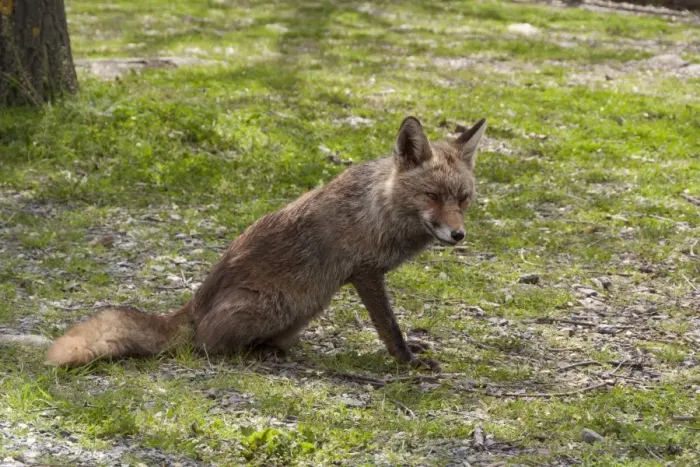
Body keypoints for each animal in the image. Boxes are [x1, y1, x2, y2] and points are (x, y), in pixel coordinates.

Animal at [46, 116, 487, 371]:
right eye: (432, 196)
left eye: (463, 199)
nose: (458, 235)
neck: (381, 208)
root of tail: (195, 304)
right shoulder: (366, 274)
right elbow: (389, 327)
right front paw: (406, 361)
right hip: (281, 303)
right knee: (205, 345)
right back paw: (252, 353)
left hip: (309, 306)